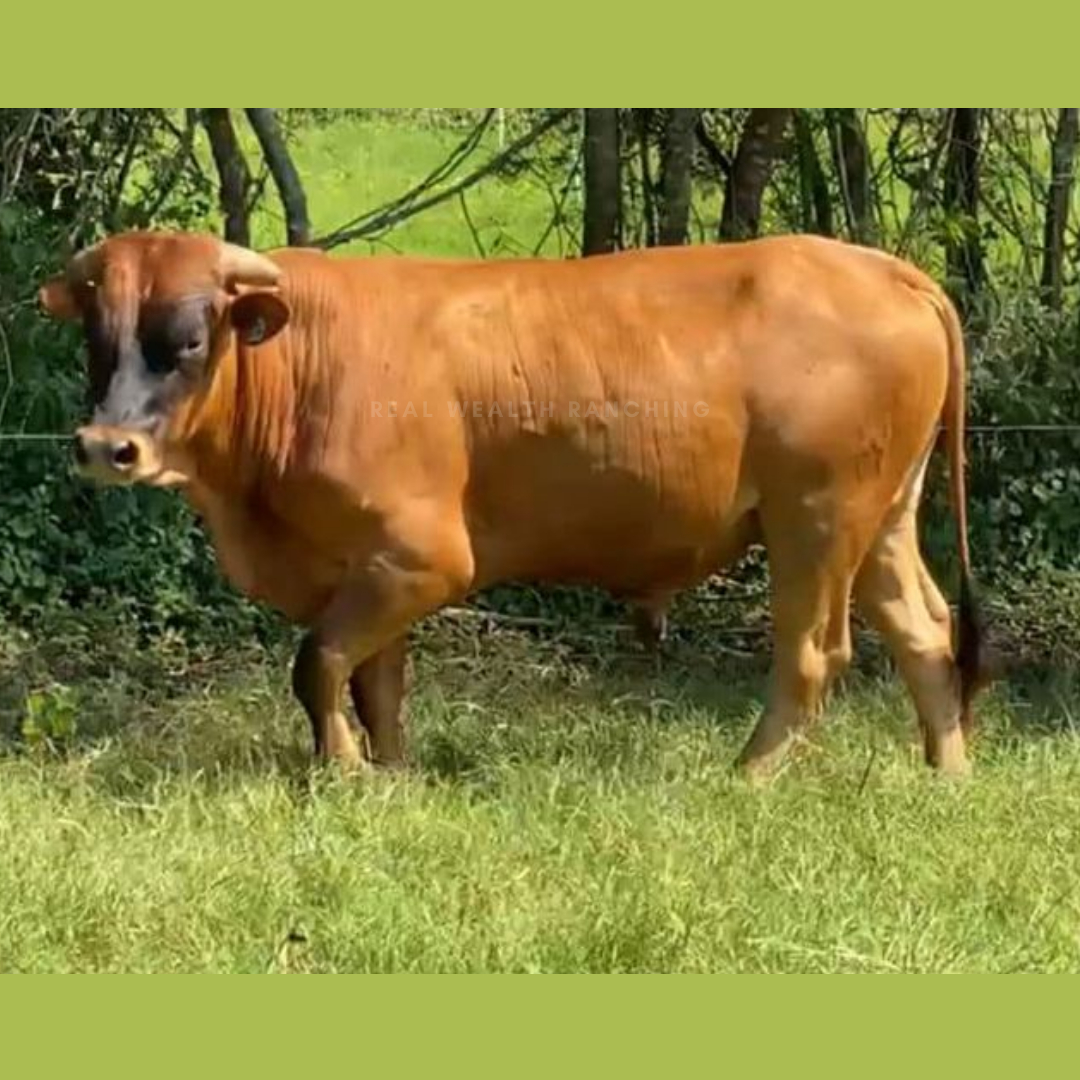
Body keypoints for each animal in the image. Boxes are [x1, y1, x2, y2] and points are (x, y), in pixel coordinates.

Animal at [38, 230, 987, 780]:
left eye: (190, 338)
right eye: (96, 334)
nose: (106, 447)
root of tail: (880, 267)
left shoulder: (422, 558)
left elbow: (318, 664)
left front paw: (340, 773)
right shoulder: (369, 571)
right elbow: (376, 679)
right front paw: (392, 775)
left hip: (815, 520)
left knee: (814, 655)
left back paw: (746, 777)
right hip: (880, 519)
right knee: (925, 632)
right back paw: (947, 774)